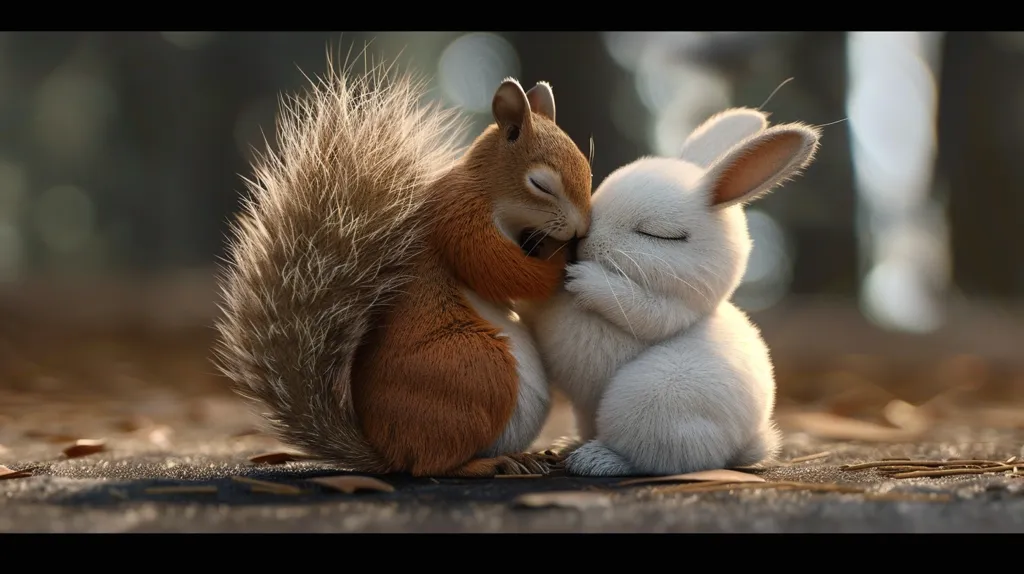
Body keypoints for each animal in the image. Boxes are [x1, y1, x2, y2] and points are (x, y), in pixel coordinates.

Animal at [214, 55, 593, 478]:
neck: (489, 189)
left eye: (588, 168)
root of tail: (387, 452)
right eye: (540, 184)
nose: (580, 228)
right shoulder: (457, 216)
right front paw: (560, 259)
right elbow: (496, 267)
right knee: (433, 465)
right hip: (474, 369)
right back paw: (493, 462)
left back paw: (530, 455)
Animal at [521, 107, 821, 476]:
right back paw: (569, 445)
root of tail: (746, 444)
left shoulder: (673, 310)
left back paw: (595, 459)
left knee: (658, 458)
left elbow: (639, 308)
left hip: (647, 399)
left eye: (661, 235)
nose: (577, 244)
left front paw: (582, 278)